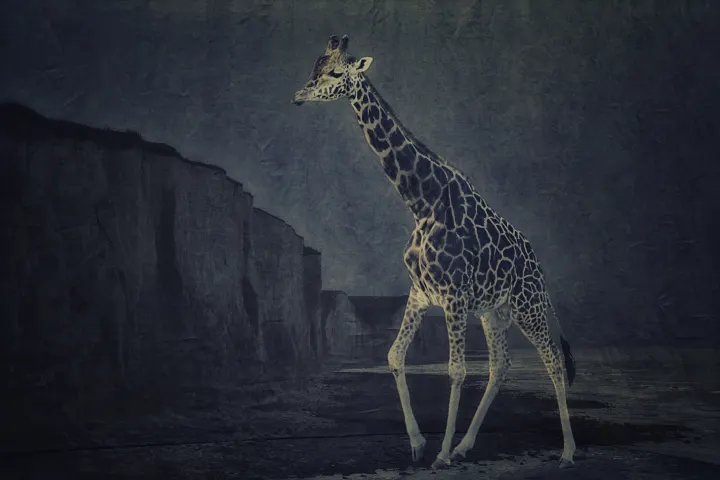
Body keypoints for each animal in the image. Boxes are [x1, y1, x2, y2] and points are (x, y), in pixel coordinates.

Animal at [292, 35, 577, 469]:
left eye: (337, 73)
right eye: (315, 66)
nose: (299, 95)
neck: (421, 202)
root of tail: (538, 264)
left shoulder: (454, 296)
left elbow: (456, 370)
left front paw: (440, 453)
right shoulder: (421, 293)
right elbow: (394, 356)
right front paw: (419, 443)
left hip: (527, 305)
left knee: (554, 360)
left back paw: (567, 451)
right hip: (494, 312)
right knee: (501, 366)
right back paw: (466, 446)